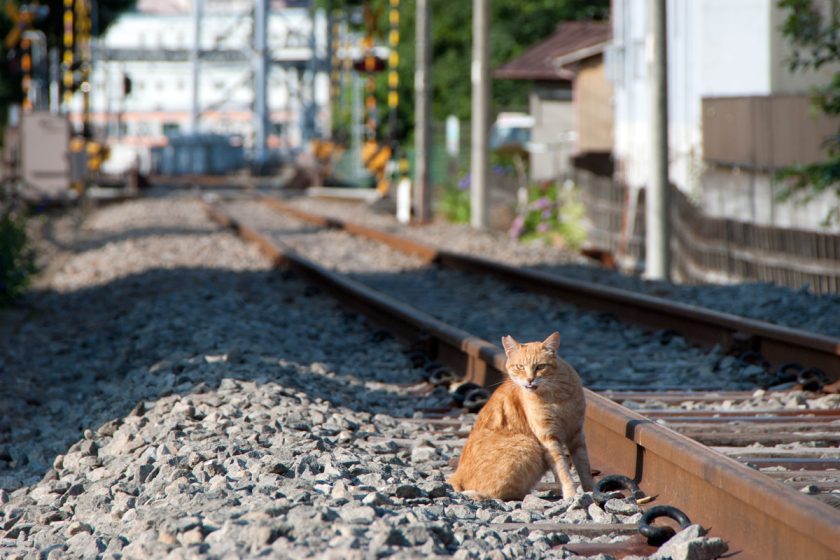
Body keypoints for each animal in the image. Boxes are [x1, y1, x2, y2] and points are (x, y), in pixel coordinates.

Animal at [450, 332, 592, 498]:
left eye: (540, 366)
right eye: (520, 367)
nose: (530, 380)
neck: (556, 395)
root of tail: (457, 475)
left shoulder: (576, 433)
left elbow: (584, 467)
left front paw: (592, 491)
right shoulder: (548, 437)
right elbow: (562, 468)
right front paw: (571, 494)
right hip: (527, 445)